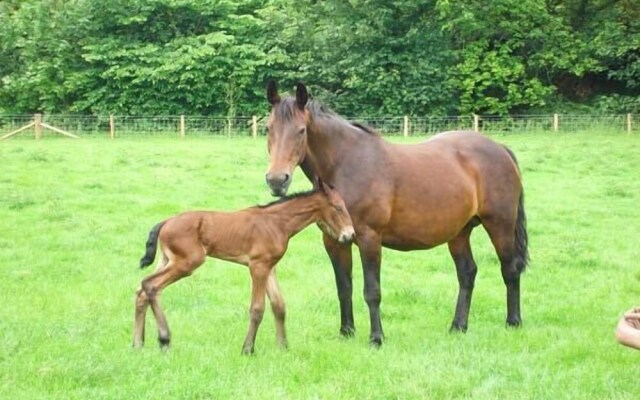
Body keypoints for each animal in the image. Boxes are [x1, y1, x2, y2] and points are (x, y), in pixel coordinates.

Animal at [133, 180, 356, 354]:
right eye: (338, 207)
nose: (350, 235)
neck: (276, 223)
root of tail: (165, 221)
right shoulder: (258, 266)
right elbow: (257, 308)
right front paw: (248, 348)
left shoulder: (270, 268)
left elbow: (279, 306)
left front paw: (283, 347)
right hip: (187, 263)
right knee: (151, 285)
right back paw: (164, 339)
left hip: (167, 260)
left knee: (141, 291)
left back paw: (137, 344)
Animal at [262, 81, 528, 346]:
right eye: (268, 128)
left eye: (301, 130)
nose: (276, 180)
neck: (346, 165)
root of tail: (500, 149)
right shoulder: (334, 241)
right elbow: (344, 287)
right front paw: (346, 332)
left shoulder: (369, 238)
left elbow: (372, 291)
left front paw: (376, 338)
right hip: (459, 232)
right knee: (467, 273)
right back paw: (458, 326)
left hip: (500, 225)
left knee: (510, 269)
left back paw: (513, 322)